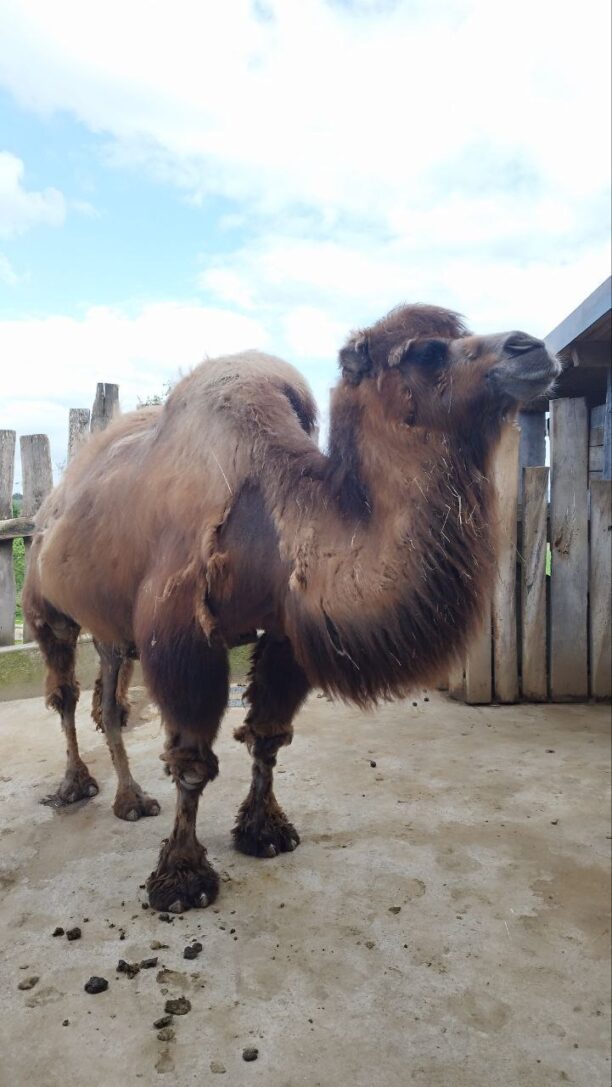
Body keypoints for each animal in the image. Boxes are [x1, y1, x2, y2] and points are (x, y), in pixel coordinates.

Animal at [23, 303, 560, 912]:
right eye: (425, 351)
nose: (532, 348)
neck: (274, 519)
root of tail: (53, 503)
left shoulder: (284, 632)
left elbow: (268, 736)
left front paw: (265, 832)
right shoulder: (180, 633)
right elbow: (192, 764)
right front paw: (181, 878)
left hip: (114, 629)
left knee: (109, 701)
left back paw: (131, 799)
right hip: (47, 609)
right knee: (65, 694)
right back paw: (76, 786)